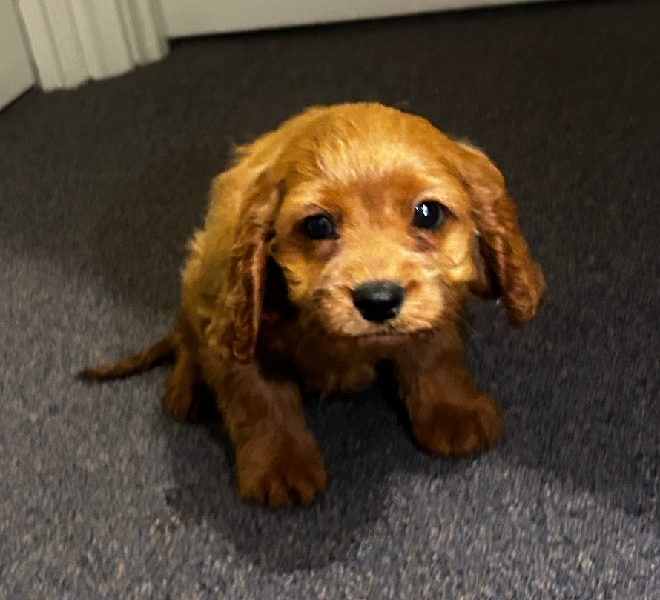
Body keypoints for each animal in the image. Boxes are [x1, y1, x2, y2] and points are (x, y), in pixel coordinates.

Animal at [82, 102, 545, 507]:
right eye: (318, 225)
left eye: (428, 213)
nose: (378, 300)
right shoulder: (236, 326)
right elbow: (260, 398)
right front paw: (280, 465)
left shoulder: (437, 302)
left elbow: (435, 354)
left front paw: (452, 412)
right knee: (189, 337)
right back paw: (188, 386)